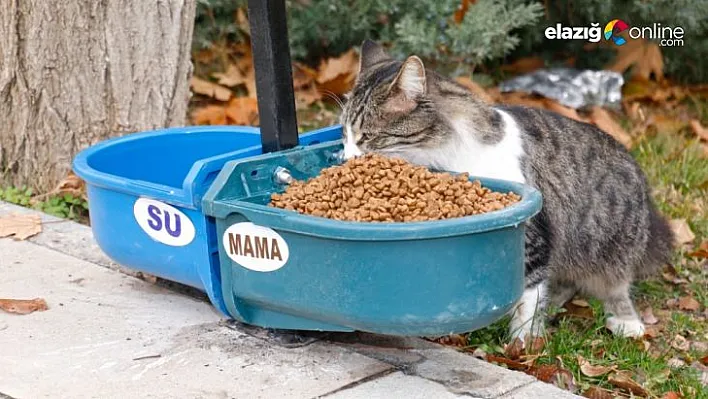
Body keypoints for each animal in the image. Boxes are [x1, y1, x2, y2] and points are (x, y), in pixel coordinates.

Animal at [338, 39, 676, 342]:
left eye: (367, 137)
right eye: (343, 133)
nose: (345, 159)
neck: (448, 154)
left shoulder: (535, 235)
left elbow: (527, 296)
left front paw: (522, 343)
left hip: (610, 245)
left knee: (615, 284)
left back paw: (626, 322)